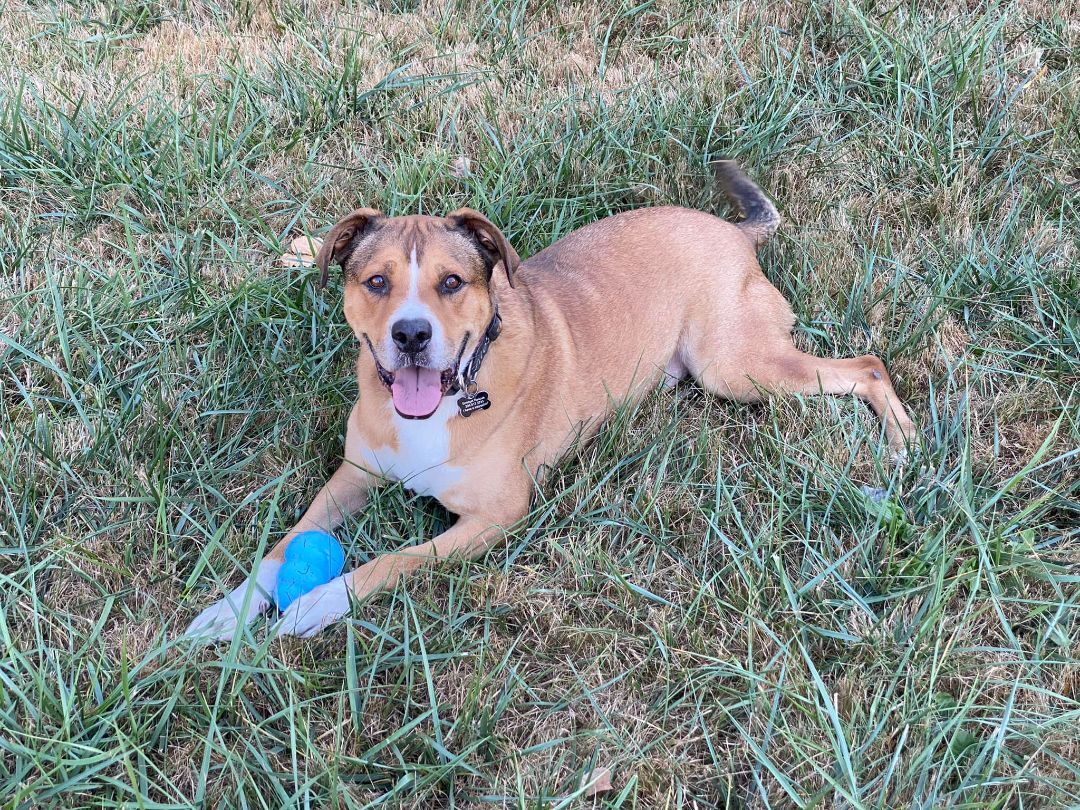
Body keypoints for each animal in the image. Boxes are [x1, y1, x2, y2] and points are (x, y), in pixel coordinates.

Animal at [183, 159, 911, 639]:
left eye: (452, 282)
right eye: (376, 281)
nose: (412, 335)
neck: (447, 403)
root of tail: (734, 233)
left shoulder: (495, 517)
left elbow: (394, 559)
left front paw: (319, 603)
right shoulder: (350, 476)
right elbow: (283, 545)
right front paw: (230, 609)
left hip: (735, 367)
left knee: (868, 367)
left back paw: (902, 442)